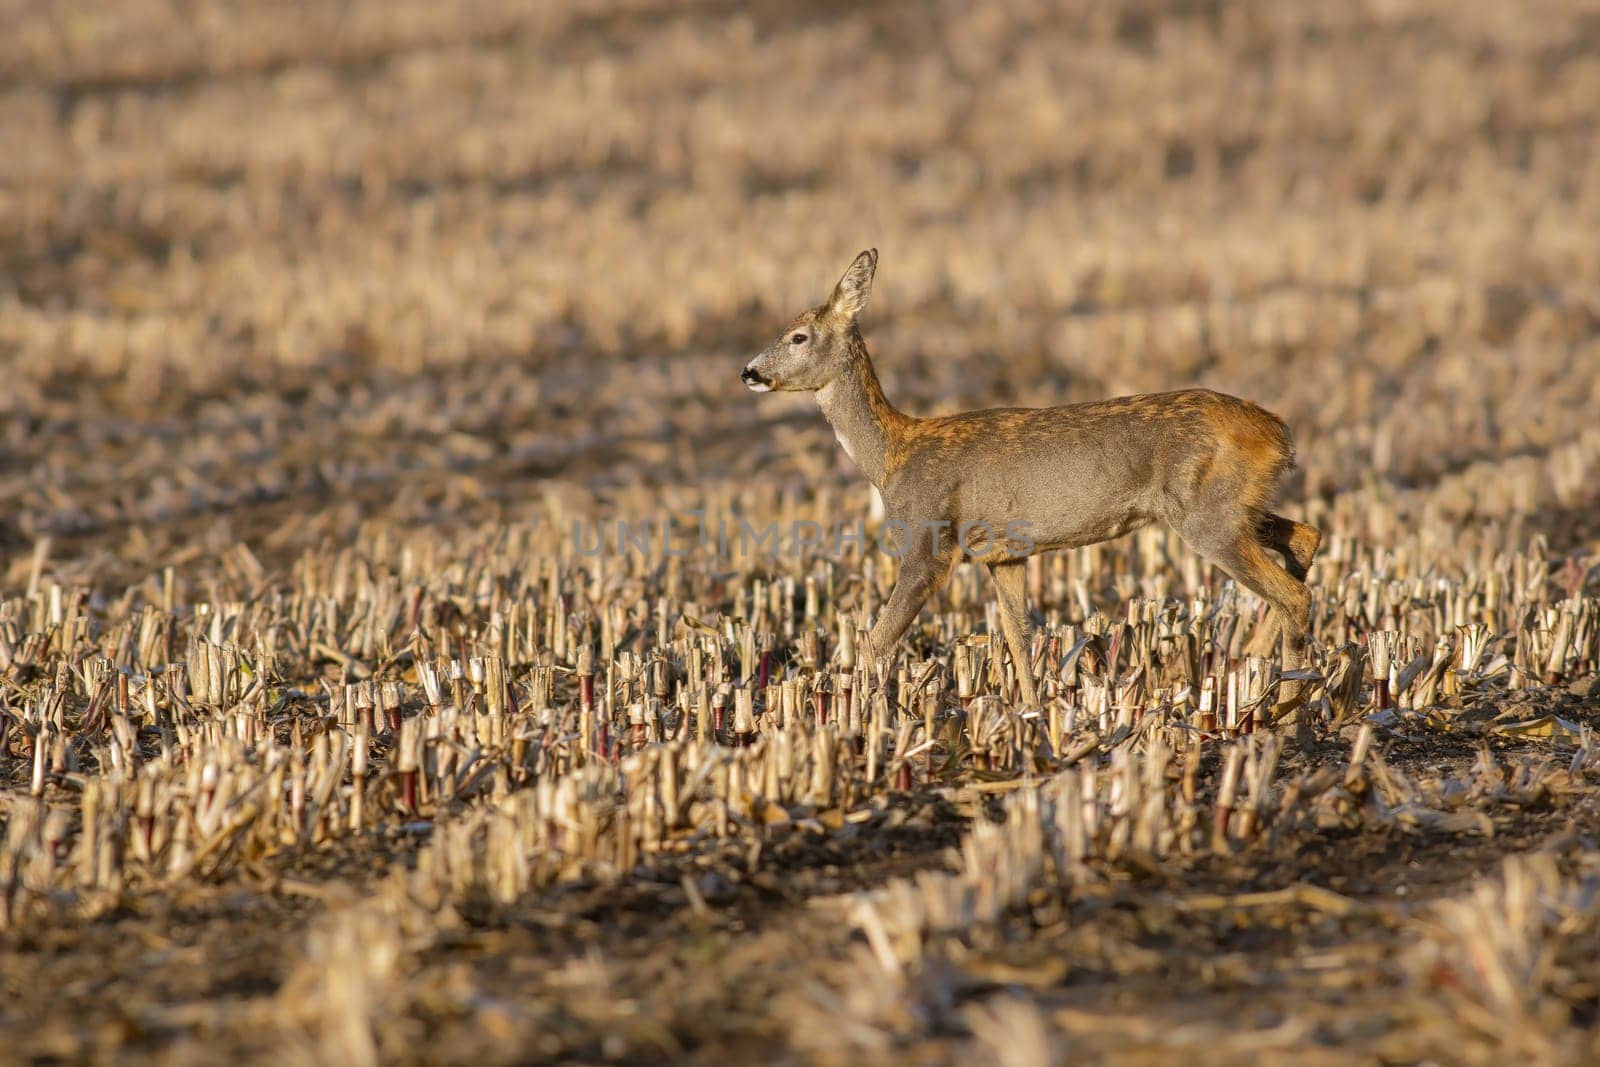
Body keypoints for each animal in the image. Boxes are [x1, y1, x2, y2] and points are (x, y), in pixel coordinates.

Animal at [742, 252, 1318, 710]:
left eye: (798, 336)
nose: (748, 372)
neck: (893, 455)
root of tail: (1279, 433)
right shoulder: (1005, 553)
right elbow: (1018, 637)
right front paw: (1033, 713)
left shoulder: (928, 540)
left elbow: (874, 642)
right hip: (1232, 504)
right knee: (1306, 539)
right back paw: (1254, 668)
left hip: (1206, 514)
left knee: (1291, 593)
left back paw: (1281, 703)